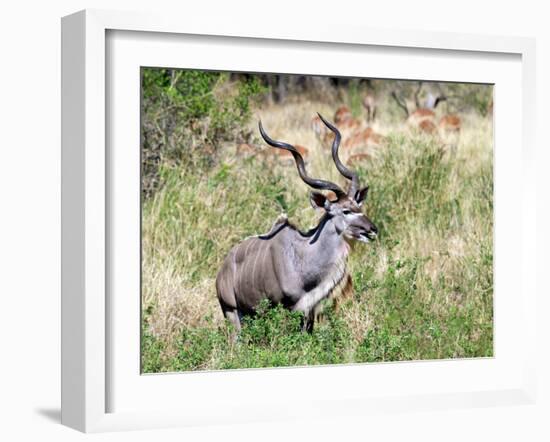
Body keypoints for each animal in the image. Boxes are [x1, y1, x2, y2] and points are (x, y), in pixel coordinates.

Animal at [217, 115, 380, 334]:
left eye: (359, 206)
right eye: (346, 211)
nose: (372, 229)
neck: (304, 256)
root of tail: (222, 271)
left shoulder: (309, 311)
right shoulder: (284, 308)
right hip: (232, 312)